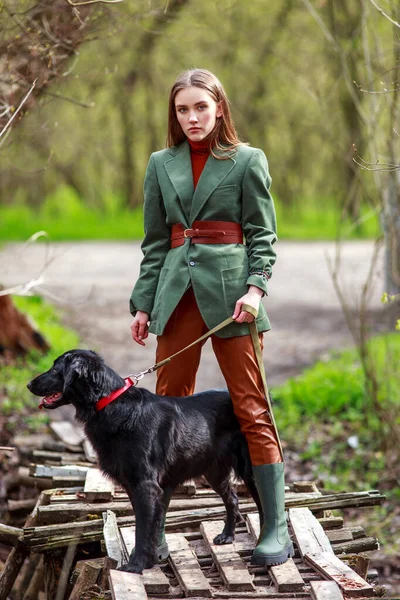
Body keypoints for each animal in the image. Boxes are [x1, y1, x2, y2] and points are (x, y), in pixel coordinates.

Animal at [28, 350, 264, 576]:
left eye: (56, 369)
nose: (29, 384)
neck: (109, 403)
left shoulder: (145, 486)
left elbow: (143, 528)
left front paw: (136, 565)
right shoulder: (137, 486)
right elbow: (150, 526)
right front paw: (149, 561)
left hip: (250, 467)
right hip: (214, 471)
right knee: (232, 499)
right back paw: (227, 536)